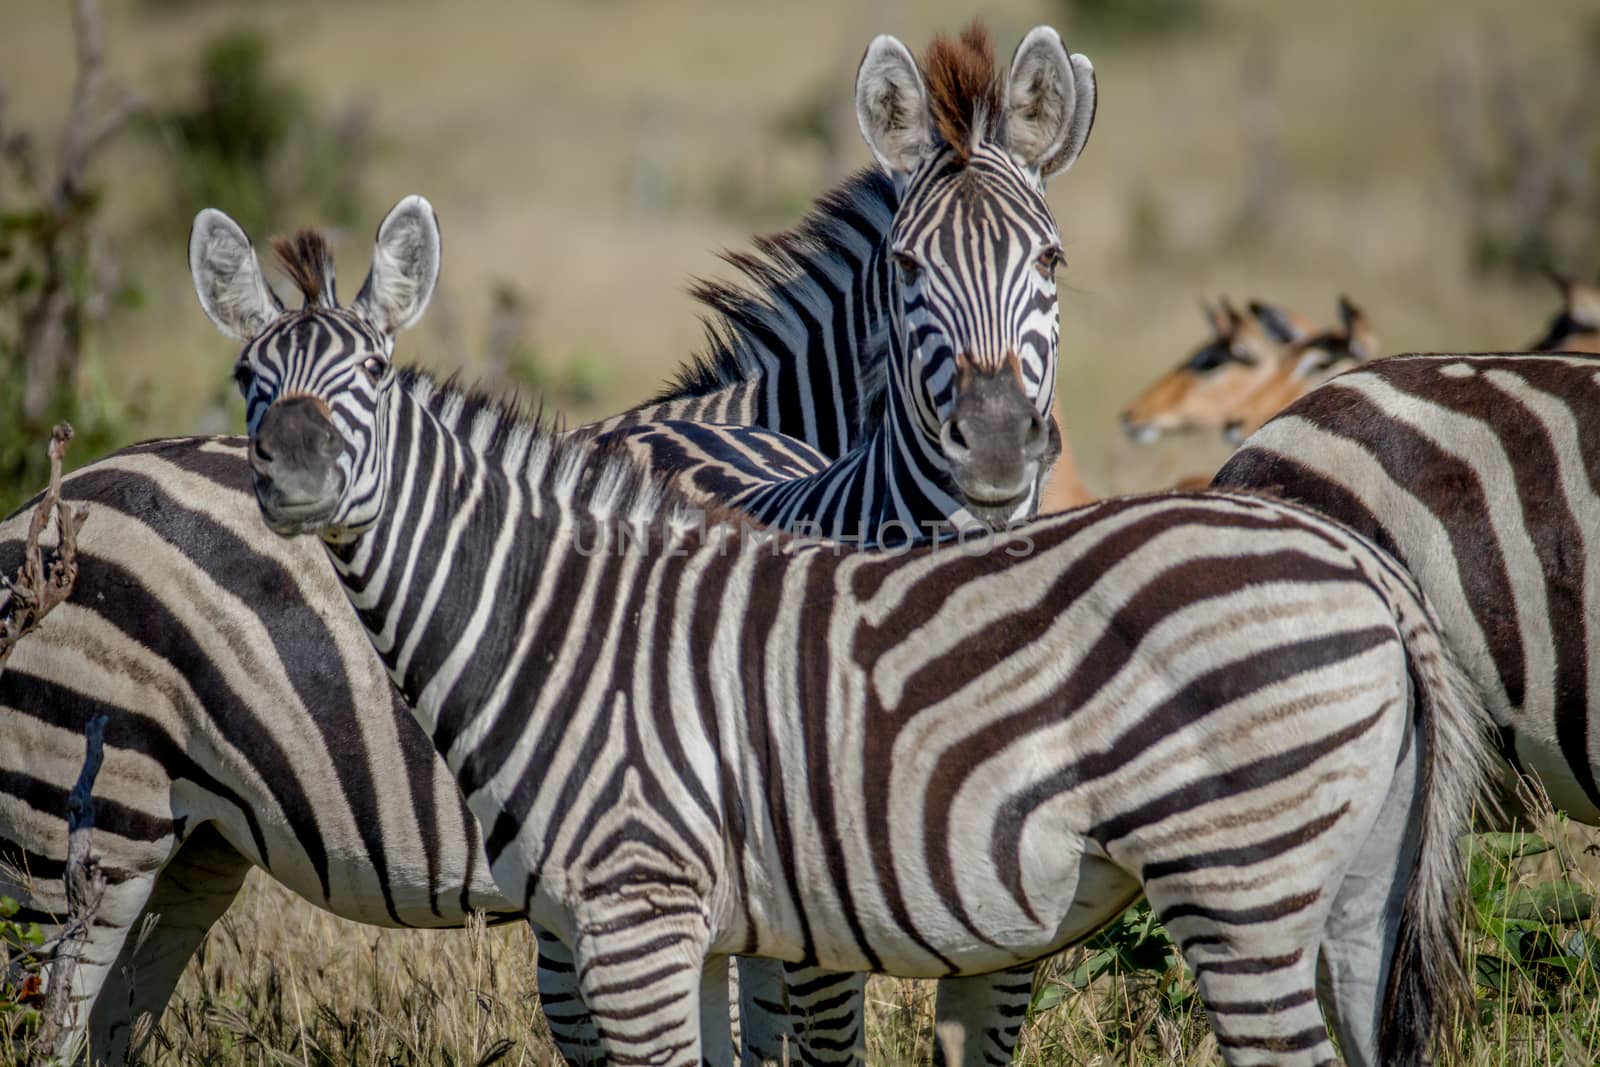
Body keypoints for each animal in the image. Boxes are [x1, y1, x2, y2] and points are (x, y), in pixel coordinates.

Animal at [228, 189, 1497, 1067]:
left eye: (370, 372)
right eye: (247, 377)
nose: (289, 475)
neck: (561, 619)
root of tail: (1360, 561)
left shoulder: (634, 906)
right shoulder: (687, 918)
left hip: (1239, 876)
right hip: (1357, 886)